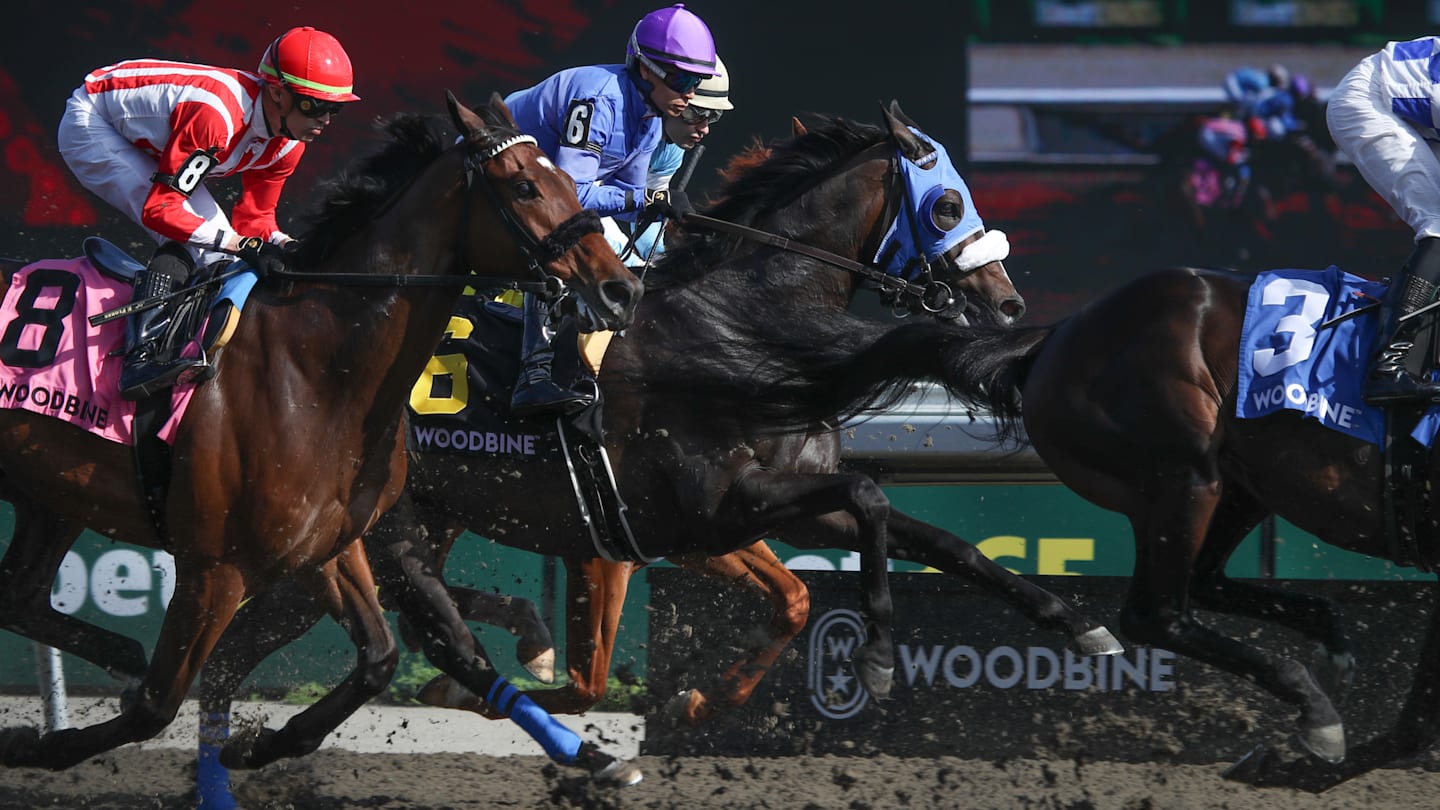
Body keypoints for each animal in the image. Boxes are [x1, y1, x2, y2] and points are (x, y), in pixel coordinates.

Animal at [0, 92, 641, 776]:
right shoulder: (214, 569)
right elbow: (155, 704)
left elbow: (380, 658)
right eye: (524, 186)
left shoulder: (329, 547)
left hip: (51, 495)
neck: (313, 370)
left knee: (18, 594)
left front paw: (261, 744)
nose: (622, 289)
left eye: (571, 183)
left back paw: (118, 653)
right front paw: (37, 743)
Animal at [191, 101, 1123, 795]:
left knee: (254, 654)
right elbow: (870, 502)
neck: (738, 329)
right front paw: (880, 658)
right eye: (947, 202)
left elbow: (912, 546)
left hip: (383, 527)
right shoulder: (705, 513)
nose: (1007, 304)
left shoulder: (743, 516)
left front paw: (1080, 626)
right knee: (246, 652)